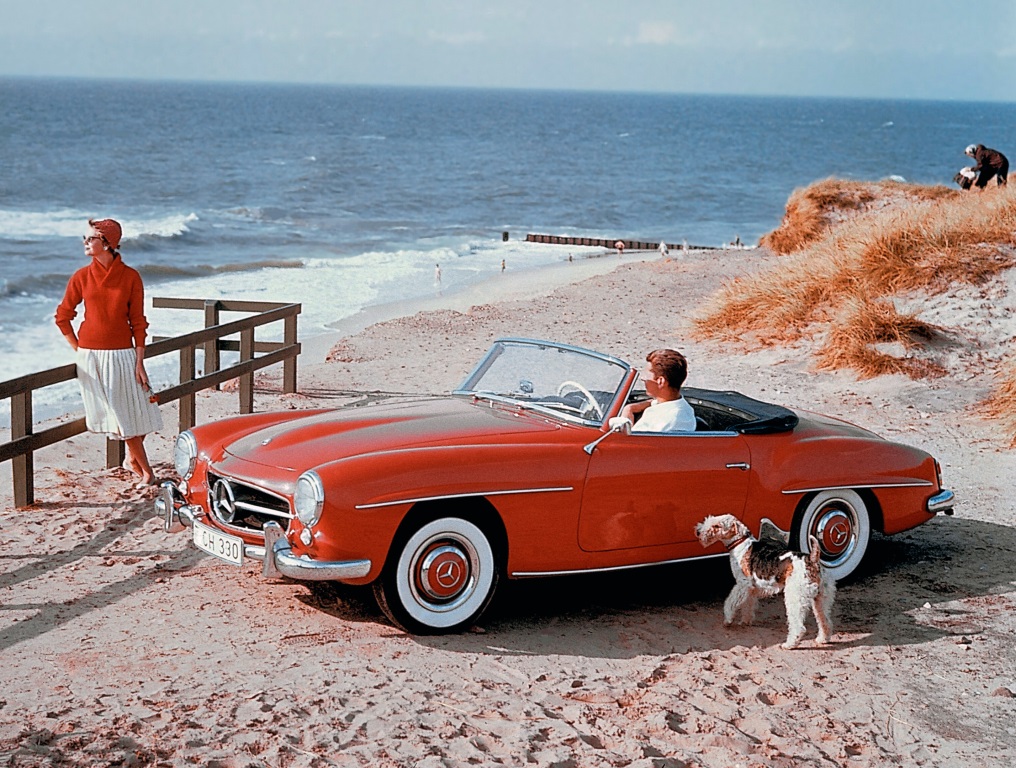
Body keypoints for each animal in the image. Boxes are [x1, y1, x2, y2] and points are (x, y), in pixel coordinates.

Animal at [695, 514, 835, 649]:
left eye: (717, 525)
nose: (698, 532)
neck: (740, 544)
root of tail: (812, 559)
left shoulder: (743, 584)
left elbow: (730, 602)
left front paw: (728, 620)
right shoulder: (751, 588)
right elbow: (748, 605)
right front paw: (745, 621)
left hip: (795, 596)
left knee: (798, 626)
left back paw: (789, 645)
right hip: (821, 598)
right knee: (825, 620)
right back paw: (822, 639)